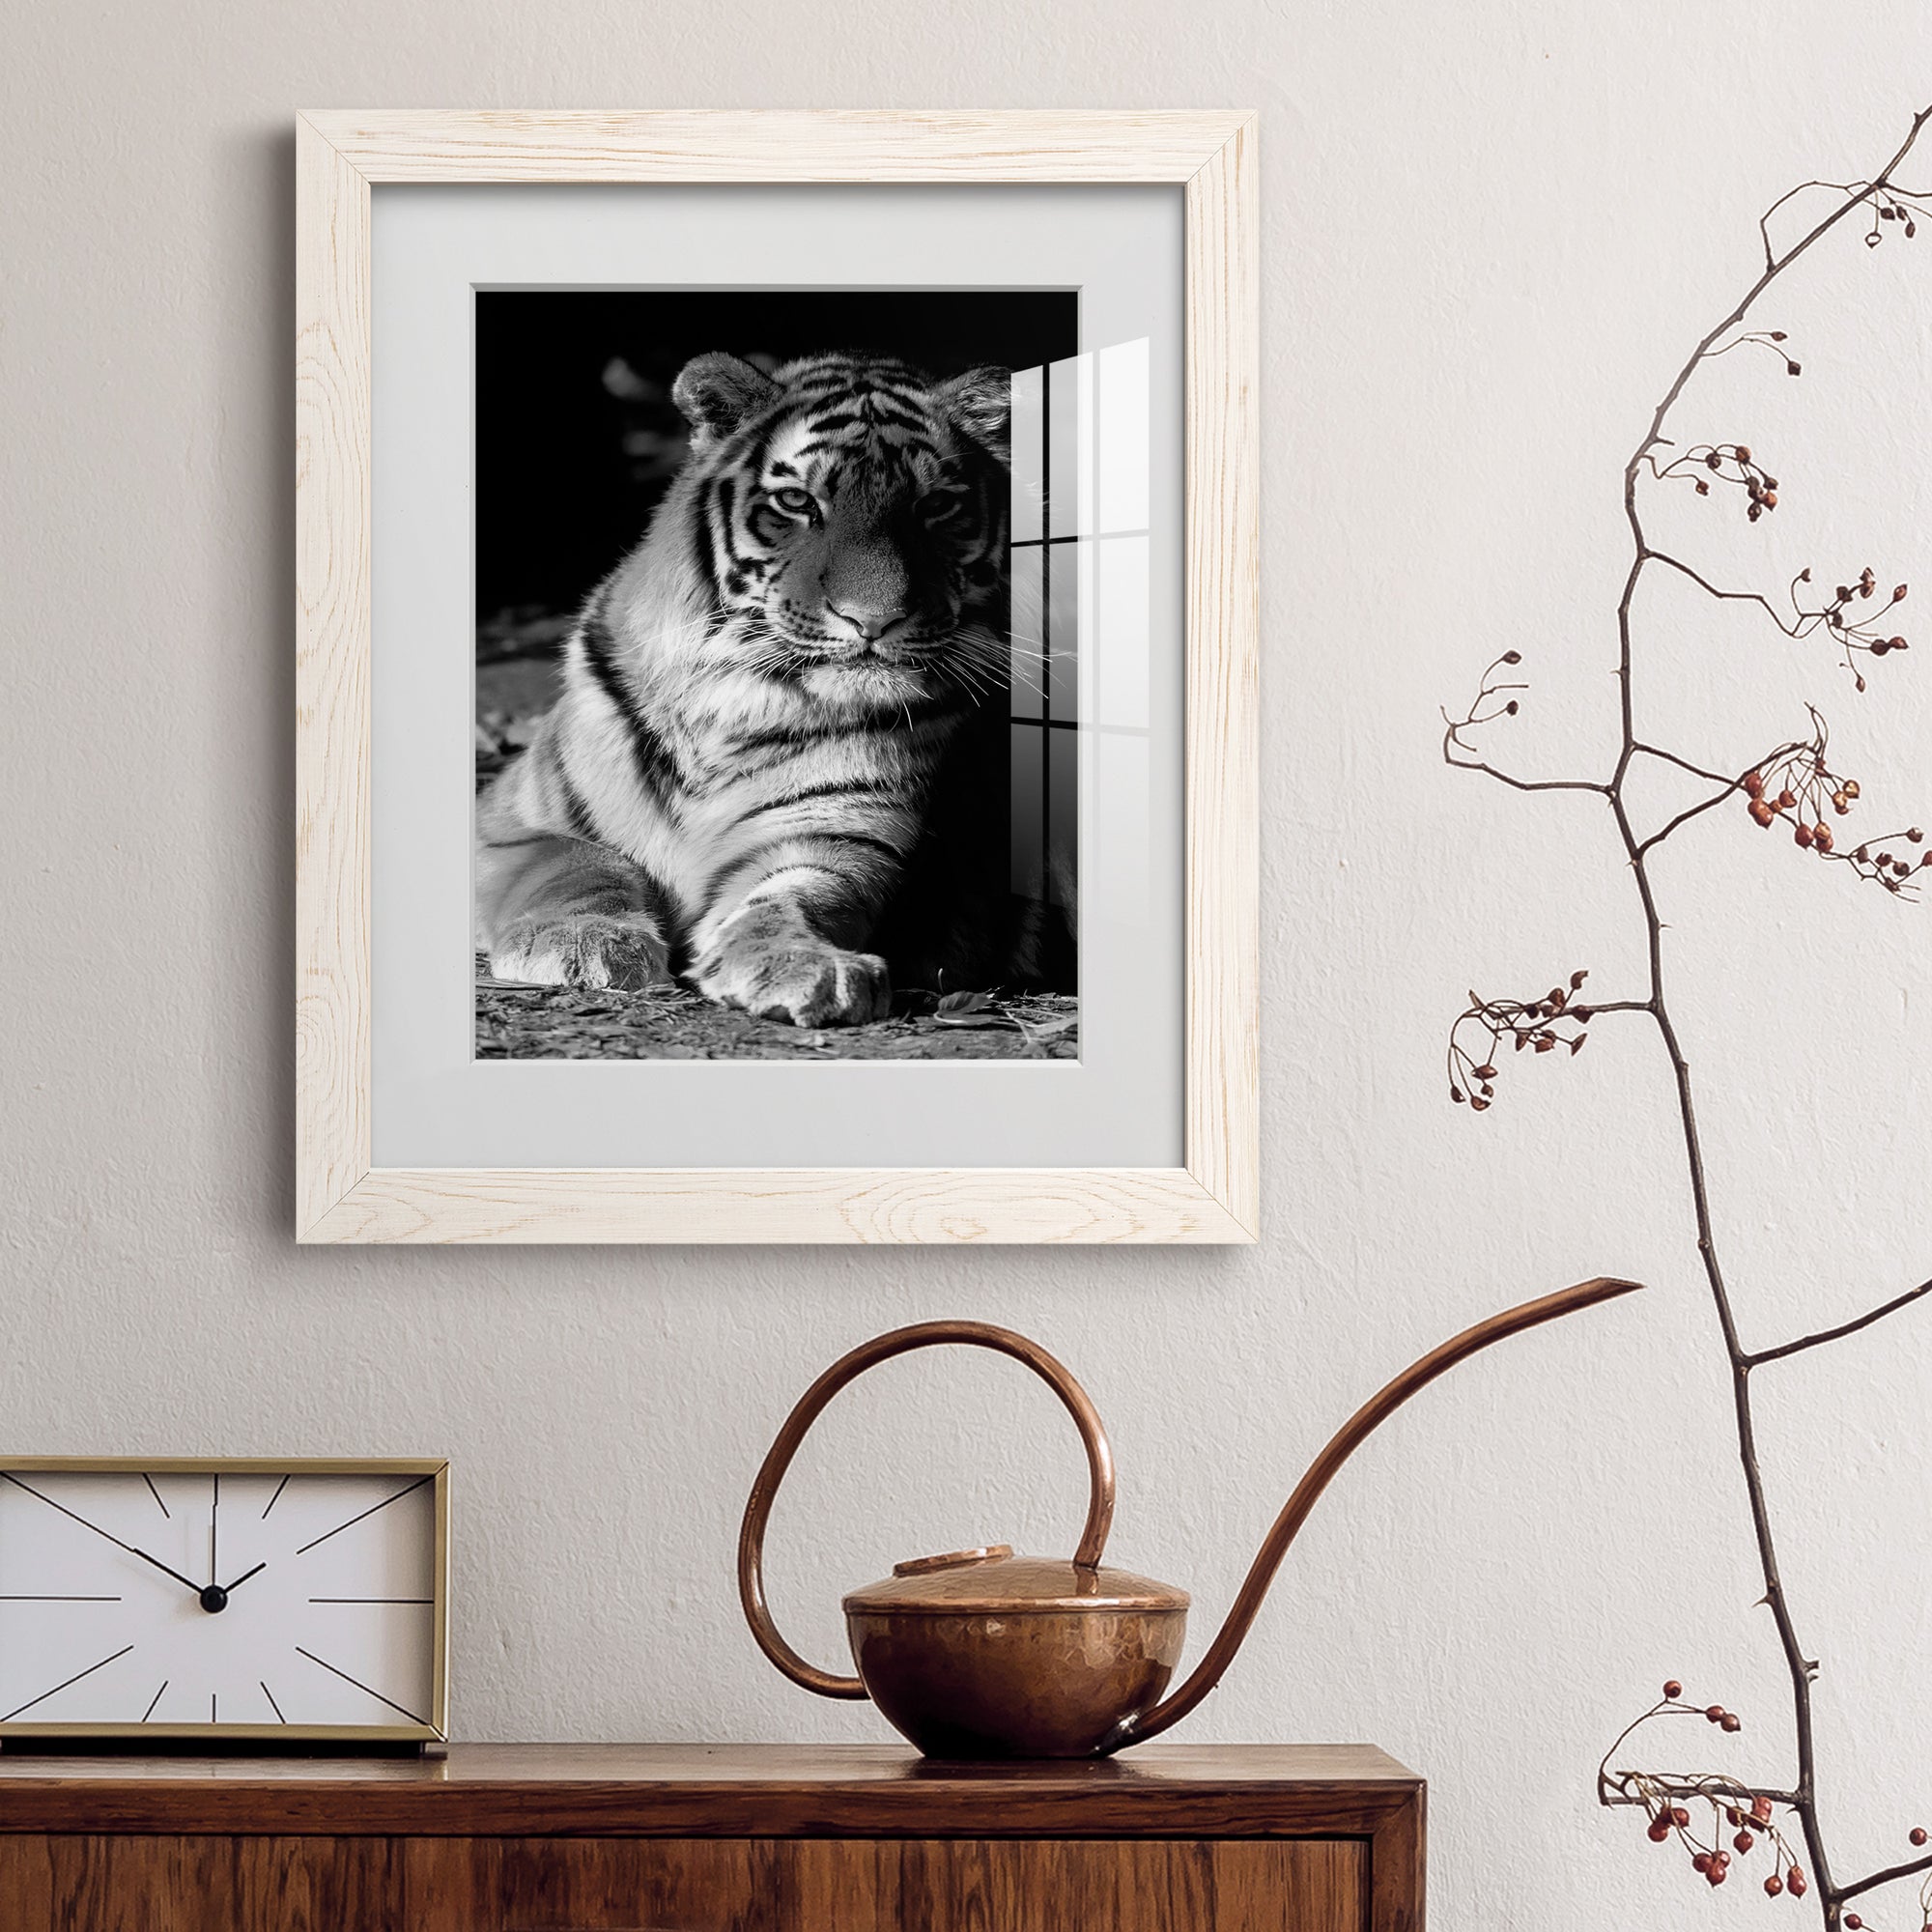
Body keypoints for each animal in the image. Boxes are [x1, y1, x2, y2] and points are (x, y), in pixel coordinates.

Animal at [476, 348, 1070, 1029]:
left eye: (935, 506)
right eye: (796, 501)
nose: (874, 620)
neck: (732, 702)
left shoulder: (833, 837)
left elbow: (793, 899)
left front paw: (803, 965)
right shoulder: (509, 821)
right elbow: (578, 864)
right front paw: (585, 943)